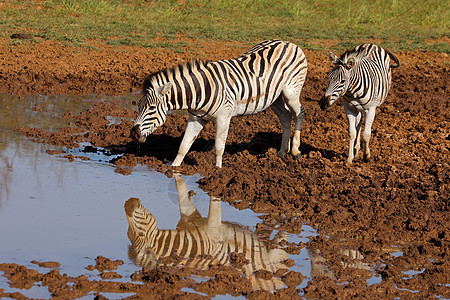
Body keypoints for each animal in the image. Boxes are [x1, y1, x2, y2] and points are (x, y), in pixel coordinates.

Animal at [125, 172, 290, 292]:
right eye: (128, 234)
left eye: (140, 234)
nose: (127, 204)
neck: (190, 243)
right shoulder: (187, 219)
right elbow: (182, 194)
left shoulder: (213, 228)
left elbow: (214, 202)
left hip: (276, 255)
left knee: (281, 241)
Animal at [128, 39, 308, 169]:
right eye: (138, 107)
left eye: (151, 108)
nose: (134, 134)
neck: (200, 91)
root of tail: (288, 43)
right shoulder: (196, 118)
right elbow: (183, 146)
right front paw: (173, 169)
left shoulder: (224, 117)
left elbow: (219, 148)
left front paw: (218, 173)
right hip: (274, 99)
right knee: (286, 117)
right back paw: (281, 153)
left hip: (291, 92)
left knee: (300, 113)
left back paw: (295, 151)